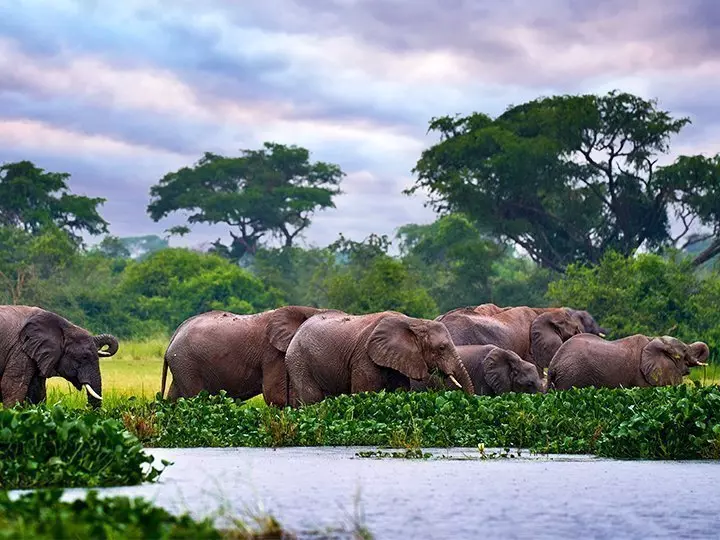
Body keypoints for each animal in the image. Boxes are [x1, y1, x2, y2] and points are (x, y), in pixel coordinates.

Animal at [160, 305, 334, 406]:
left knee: (173, 398)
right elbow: (275, 394)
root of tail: (175, 335)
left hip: (181, 365)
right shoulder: (272, 353)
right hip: (187, 363)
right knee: (194, 398)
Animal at [284, 310, 475, 406]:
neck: (414, 322)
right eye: (441, 348)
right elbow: (365, 393)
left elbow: (400, 391)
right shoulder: (364, 356)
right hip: (298, 359)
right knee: (312, 397)